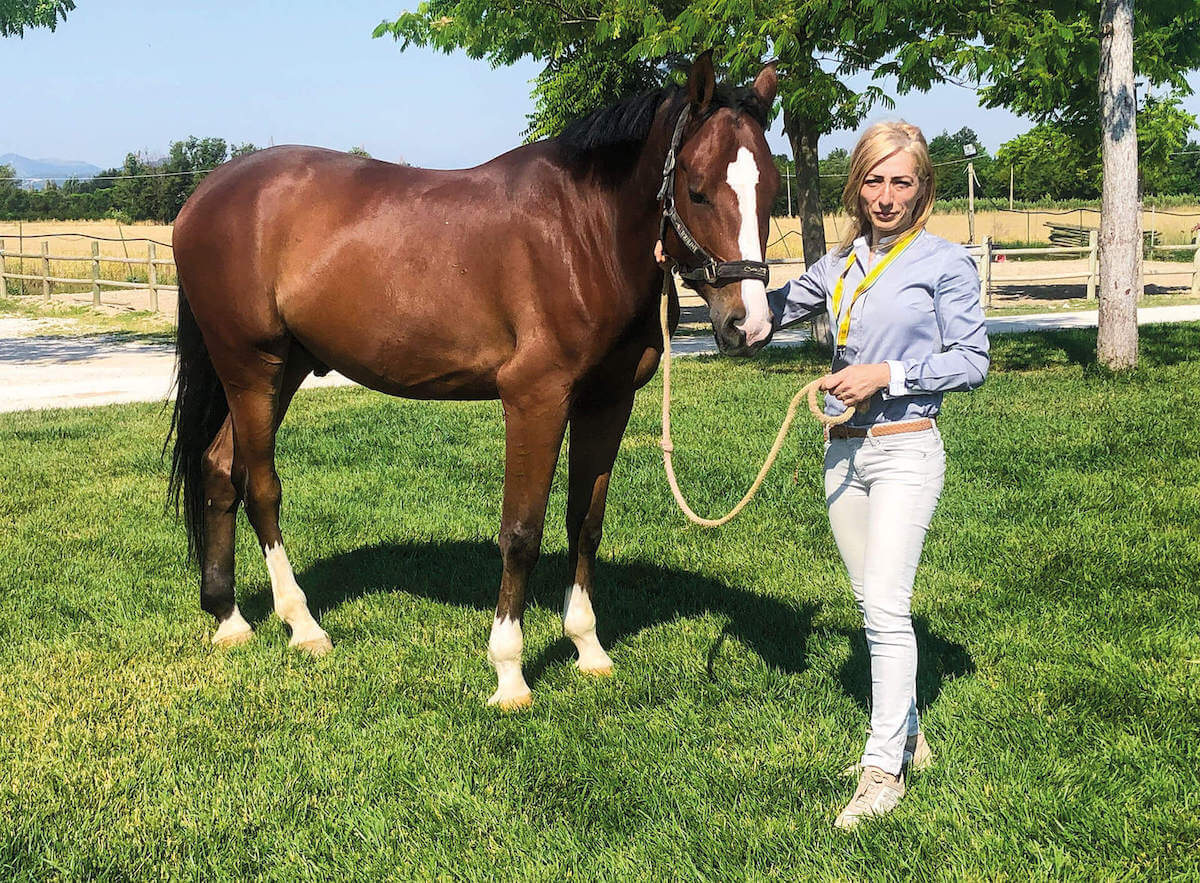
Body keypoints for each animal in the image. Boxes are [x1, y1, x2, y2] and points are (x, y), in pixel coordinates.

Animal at [169, 53, 782, 710]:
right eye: (696, 189)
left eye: (771, 188)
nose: (749, 325)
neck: (583, 233)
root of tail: (202, 196)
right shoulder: (535, 399)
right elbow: (522, 532)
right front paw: (509, 672)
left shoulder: (606, 401)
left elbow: (584, 523)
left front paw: (587, 647)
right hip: (250, 366)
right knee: (259, 485)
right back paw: (302, 626)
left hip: (284, 367)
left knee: (218, 466)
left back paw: (229, 617)